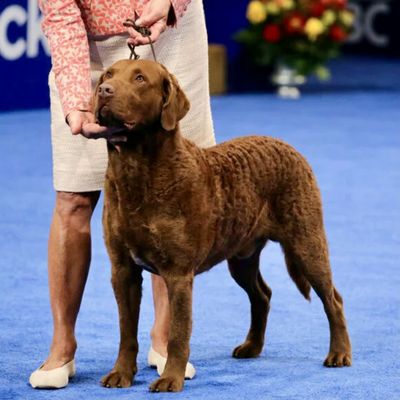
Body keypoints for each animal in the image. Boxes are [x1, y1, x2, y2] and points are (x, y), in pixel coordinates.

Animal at [92, 60, 352, 394]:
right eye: (108, 75)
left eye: (139, 78)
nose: (103, 90)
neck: (137, 173)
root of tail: (287, 146)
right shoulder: (122, 270)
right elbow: (126, 331)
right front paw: (120, 374)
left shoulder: (178, 273)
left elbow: (178, 333)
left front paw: (171, 378)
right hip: (242, 255)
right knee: (262, 294)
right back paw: (251, 347)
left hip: (307, 242)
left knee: (333, 298)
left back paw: (339, 353)